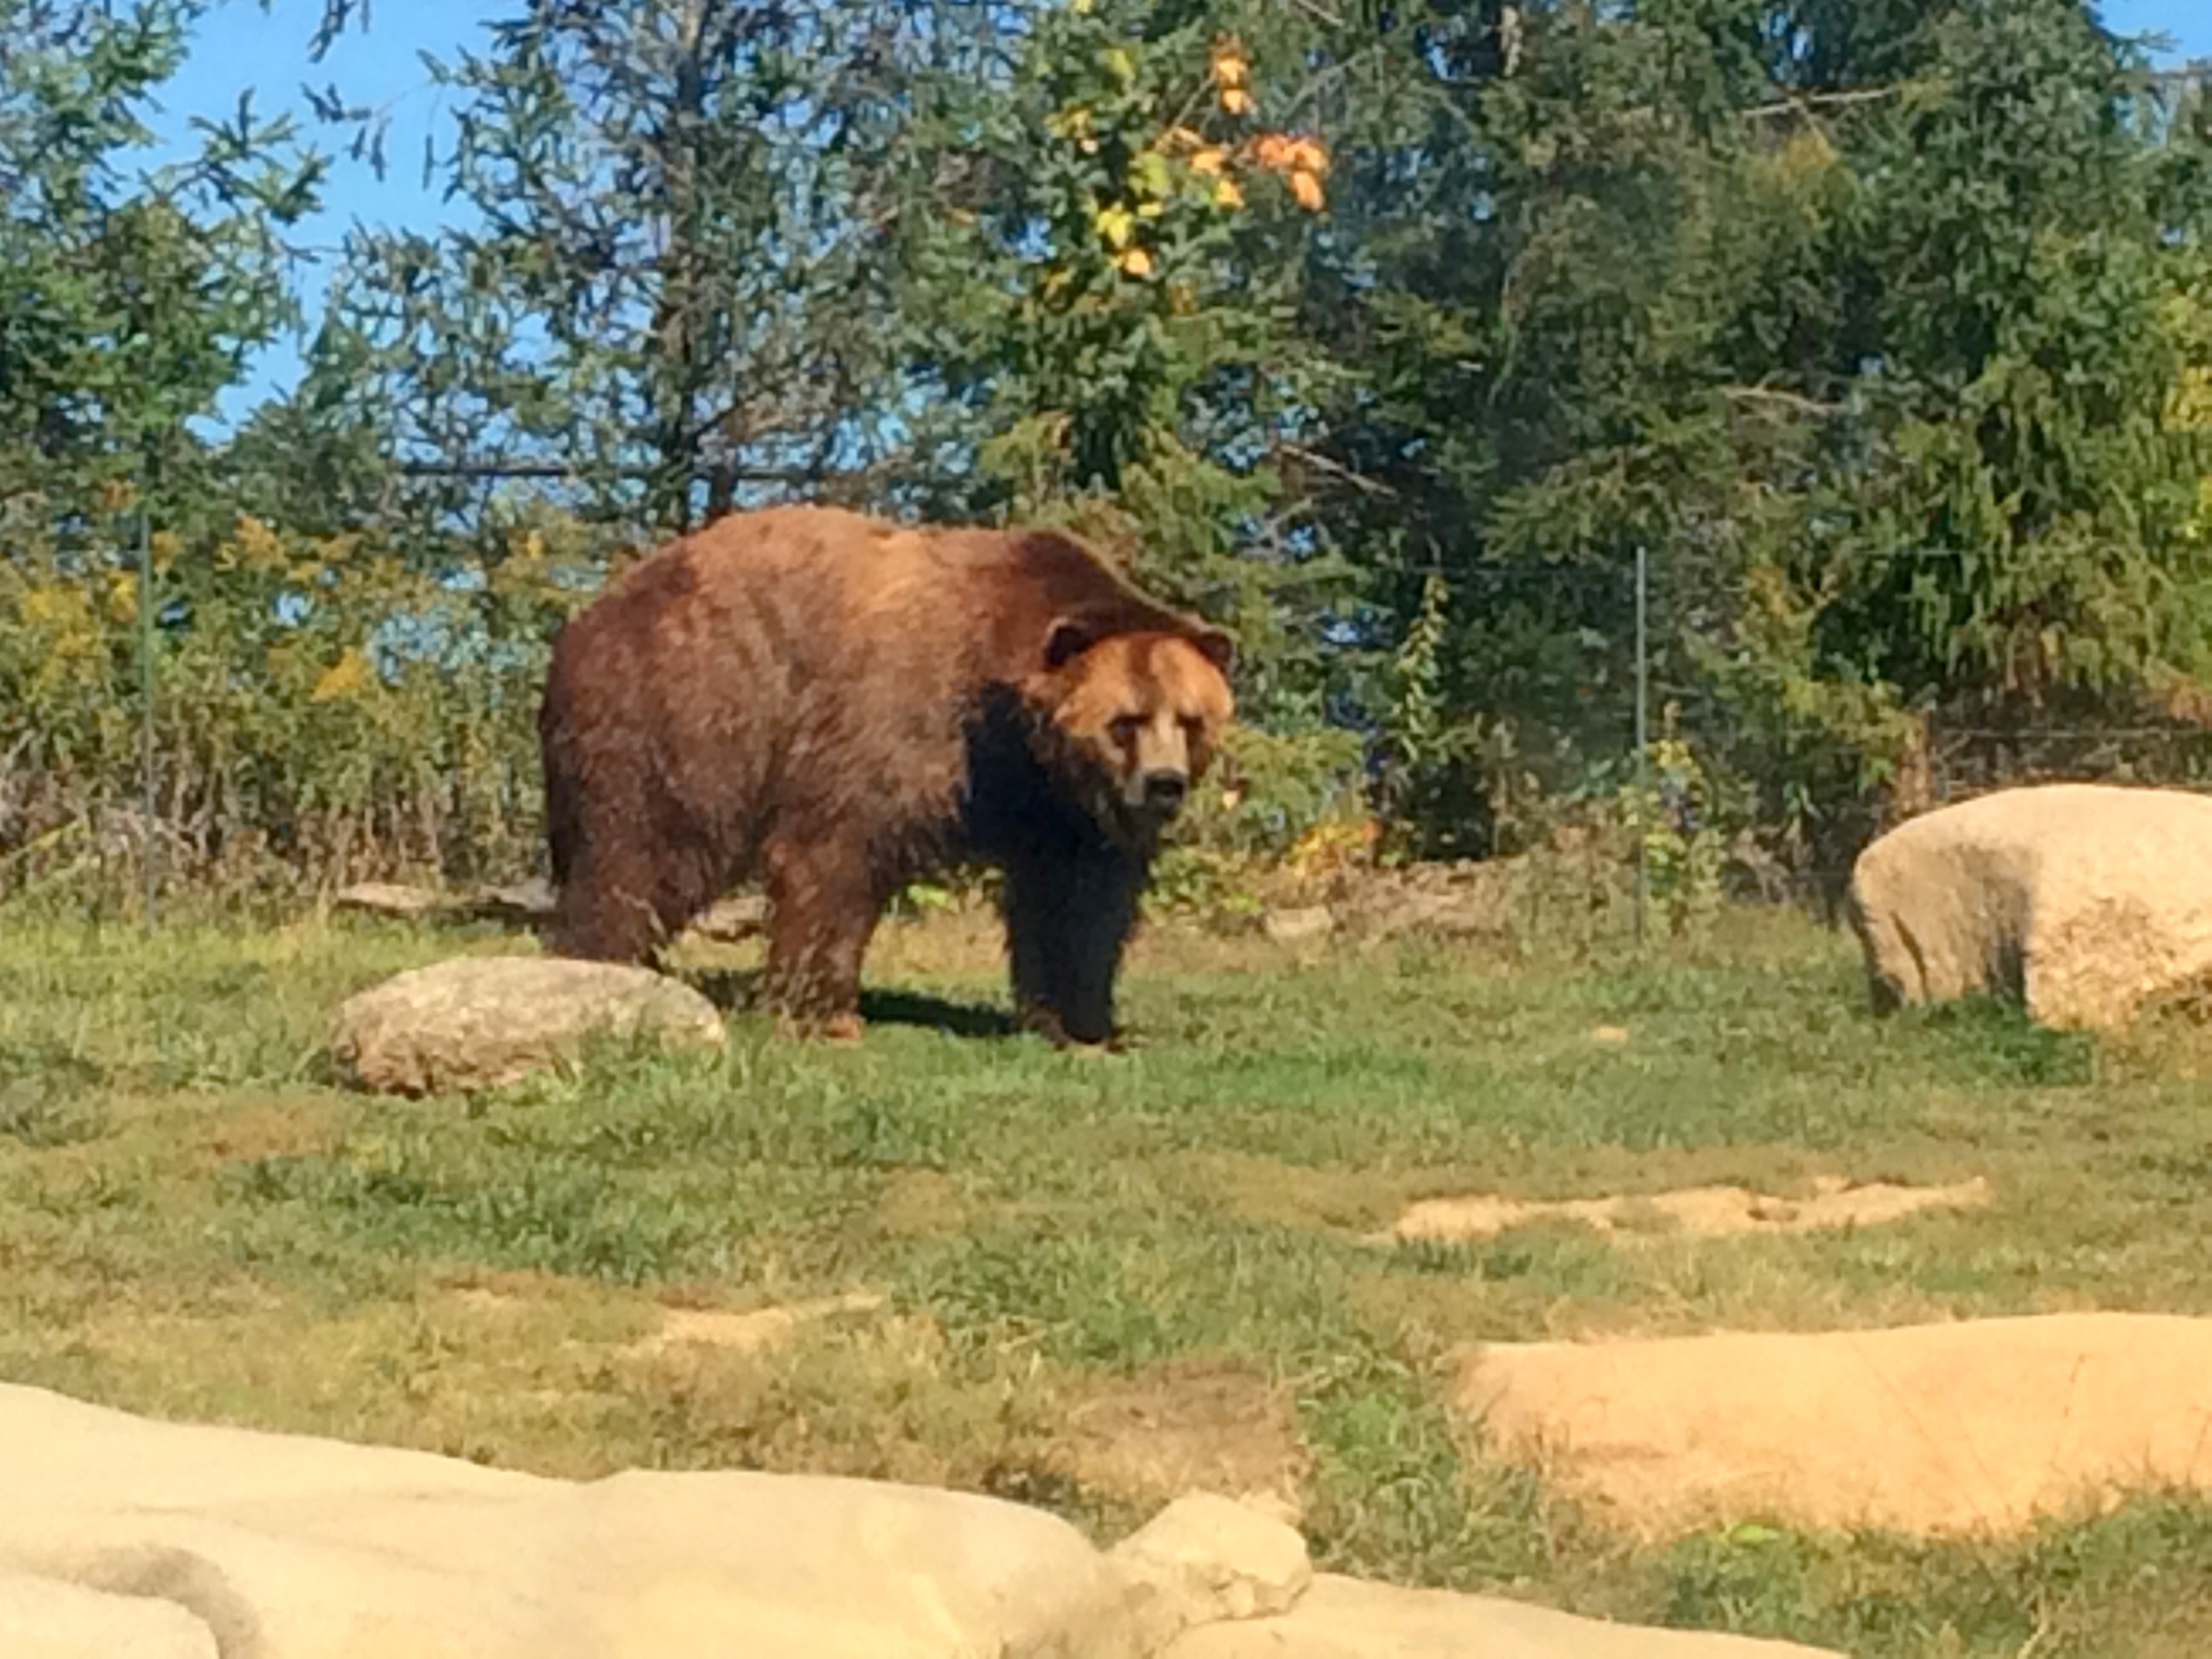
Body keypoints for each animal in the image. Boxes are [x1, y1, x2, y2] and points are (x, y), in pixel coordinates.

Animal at [529, 510, 1238, 1052]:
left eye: (1191, 719)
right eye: (1126, 722)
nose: (1165, 784)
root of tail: (581, 622)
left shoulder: (1059, 806)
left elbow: (1081, 901)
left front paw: (1085, 1025)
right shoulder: (898, 718)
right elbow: (835, 852)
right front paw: (824, 1016)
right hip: (682, 708)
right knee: (645, 851)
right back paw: (601, 966)